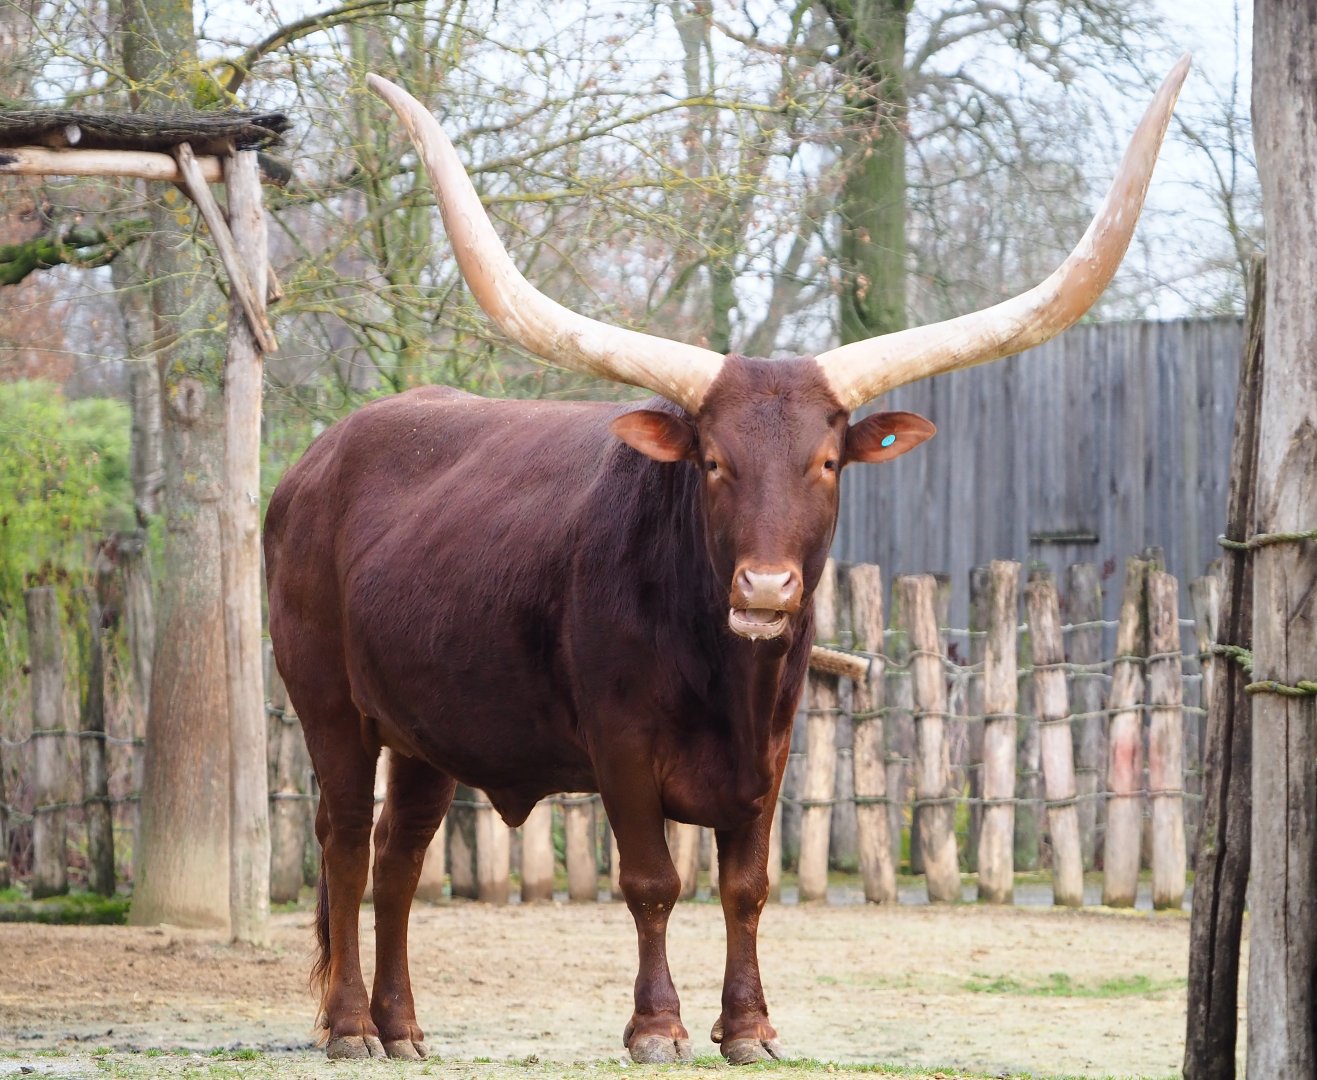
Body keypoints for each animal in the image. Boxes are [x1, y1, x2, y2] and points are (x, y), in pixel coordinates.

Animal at [264, 56, 1189, 1064]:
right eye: (712, 461)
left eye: (825, 462)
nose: (766, 586)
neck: (723, 673)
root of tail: (312, 466)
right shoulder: (621, 746)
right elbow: (653, 882)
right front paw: (656, 1027)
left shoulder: (772, 754)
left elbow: (745, 888)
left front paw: (748, 1027)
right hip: (329, 707)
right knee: (346, 845)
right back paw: (351, 1026)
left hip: (425, 730)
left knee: (399, 855)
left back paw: (401, 1027)